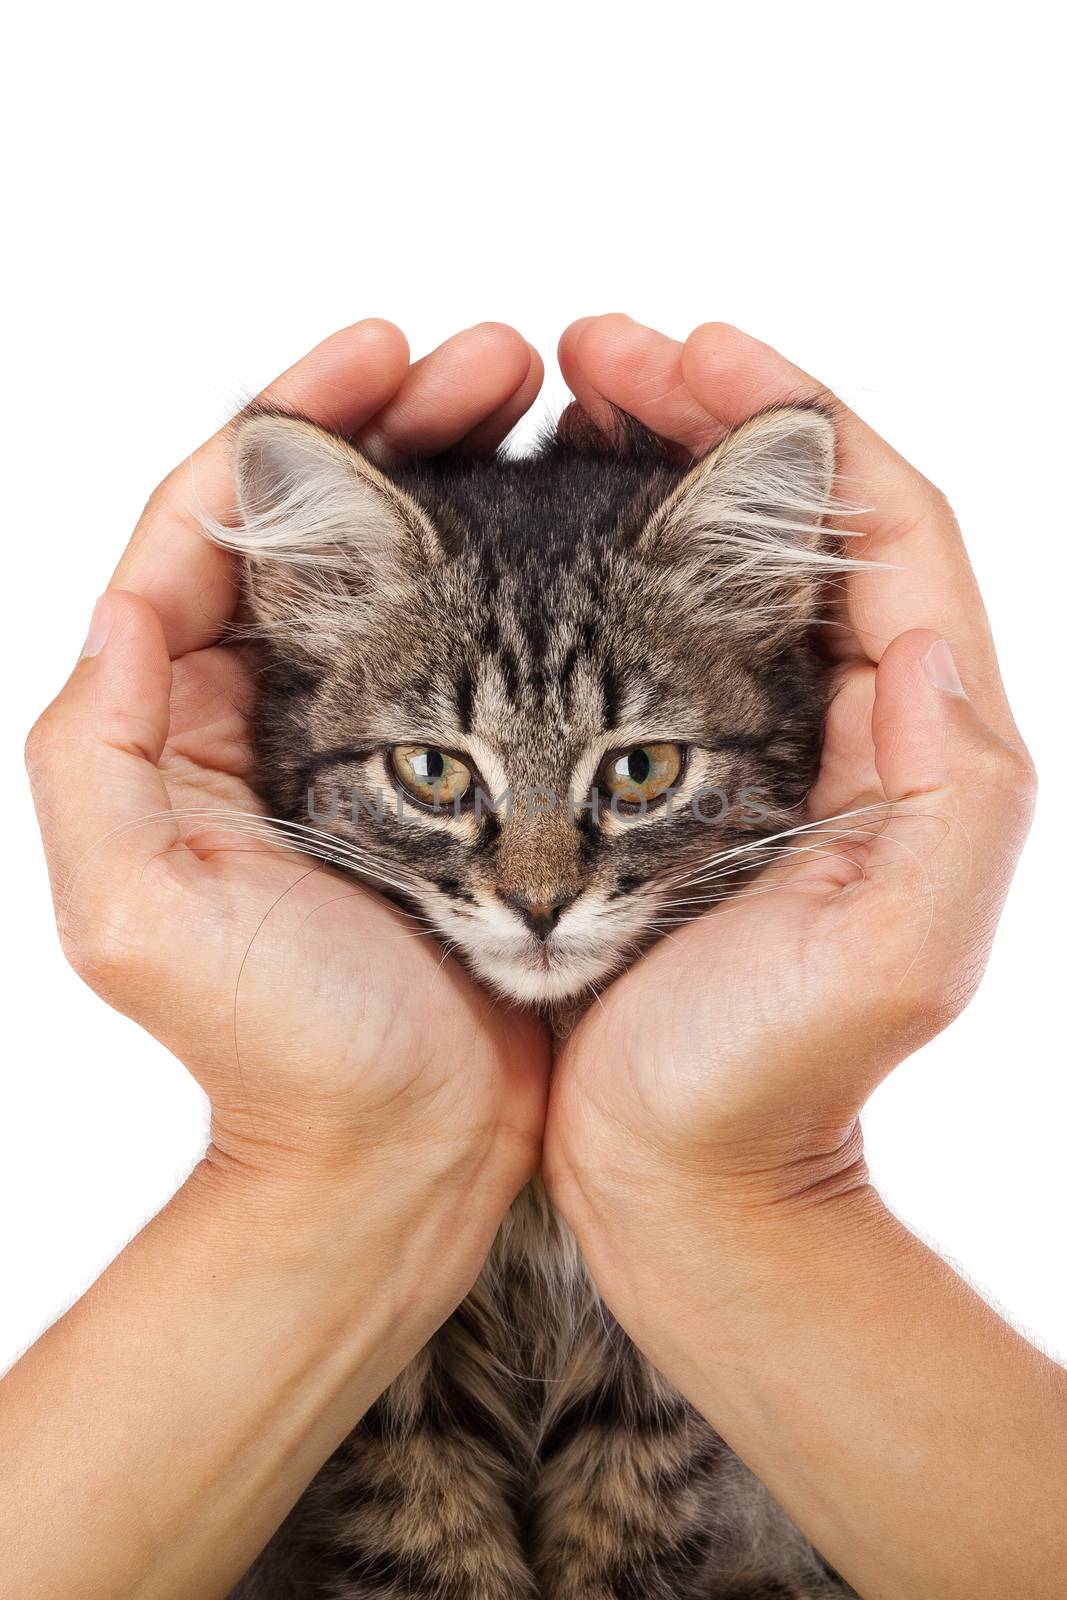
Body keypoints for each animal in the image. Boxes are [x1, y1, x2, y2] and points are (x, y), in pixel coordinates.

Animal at [217, 406, 857, 1593]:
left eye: (642, 771)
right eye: (431, 772)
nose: (539, 906)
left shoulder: (654, 1351)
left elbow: (620, 1537)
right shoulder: (394, 1366)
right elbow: (432, 1551)